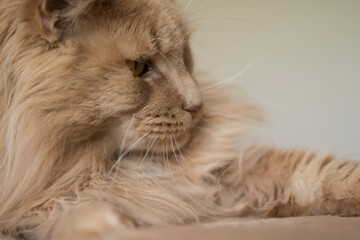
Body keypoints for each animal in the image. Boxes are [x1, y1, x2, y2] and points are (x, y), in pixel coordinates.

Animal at [0, 0, 358, 239]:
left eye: (185, 54)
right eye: (138, 67)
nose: (197, 105)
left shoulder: (219, 179)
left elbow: (321, 173)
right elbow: (65, 215)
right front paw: (110, 223)